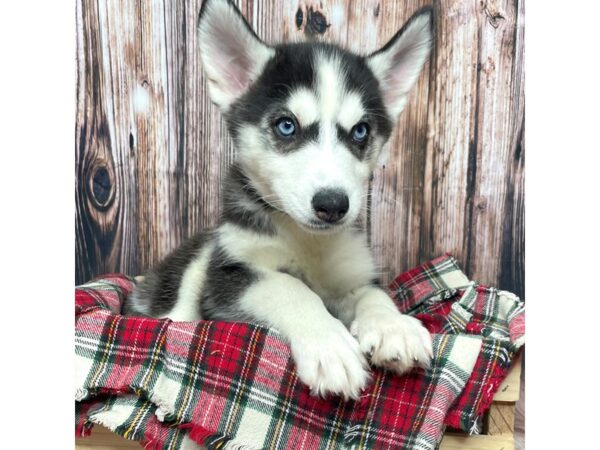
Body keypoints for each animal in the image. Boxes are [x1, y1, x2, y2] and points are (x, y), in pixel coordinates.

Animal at [124, 0, 434, 400]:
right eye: (286, 125)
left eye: (360, 131)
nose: (333, 205)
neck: (307, 241)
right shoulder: (228, 279)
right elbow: (289, 287)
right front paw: (329, 345)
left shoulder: (352, 273)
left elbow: (373, 293)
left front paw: (393, 326)